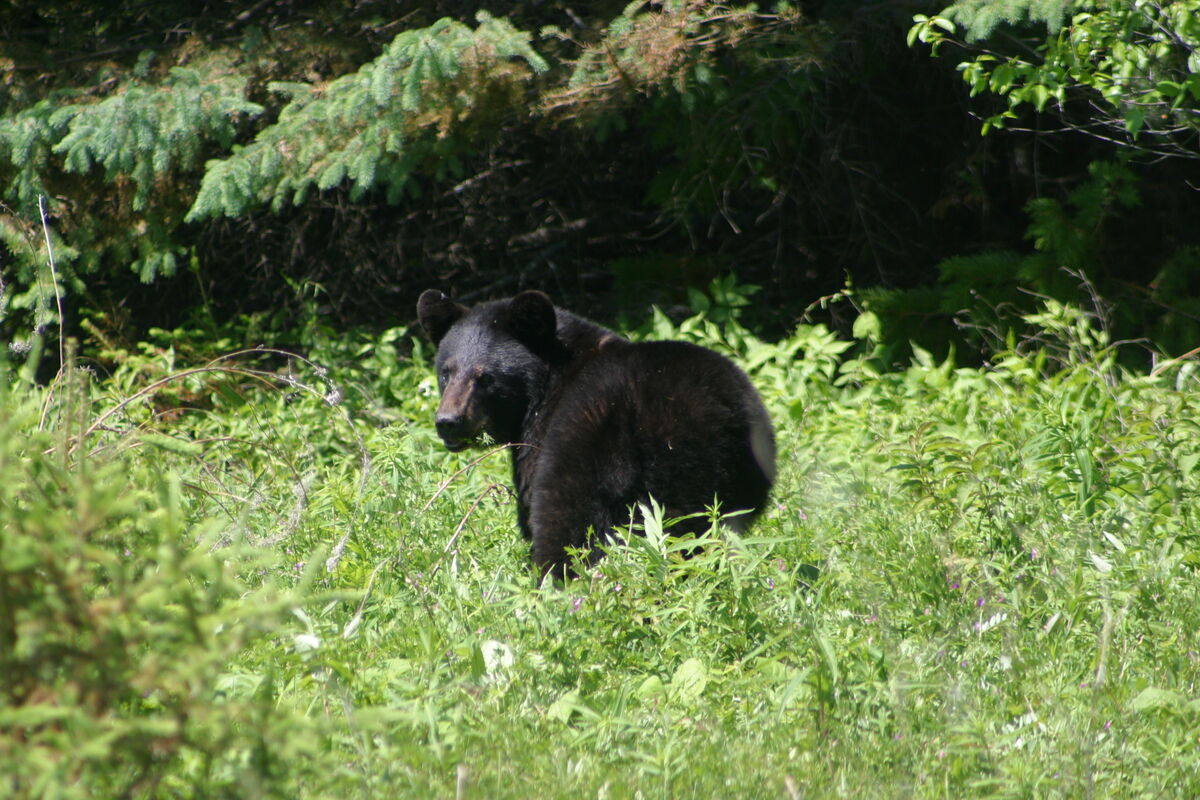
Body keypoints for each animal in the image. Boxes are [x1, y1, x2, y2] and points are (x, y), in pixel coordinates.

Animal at [420, 291, 777, 578]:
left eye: (485, 378)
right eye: (446, 372)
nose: (448, 421)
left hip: (595, 460)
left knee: (568, 531)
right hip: (737, 475)